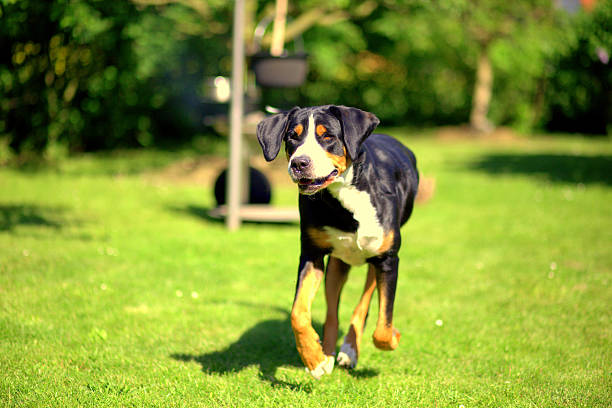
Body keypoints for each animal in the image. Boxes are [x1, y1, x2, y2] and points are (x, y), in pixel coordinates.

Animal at [256, 105, 418, 380]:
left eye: (327, 136)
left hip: (374, 263)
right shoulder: (311, 254)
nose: (299, 163)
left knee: (363, 305)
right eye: (292, 137)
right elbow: (298, 313)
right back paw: (327, 355)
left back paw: (349, 350)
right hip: (336, 264)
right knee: (332, 312)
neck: (344, 198)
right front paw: (313, 358)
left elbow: (383, 328)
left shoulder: (387, 260)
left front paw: (393, 336)